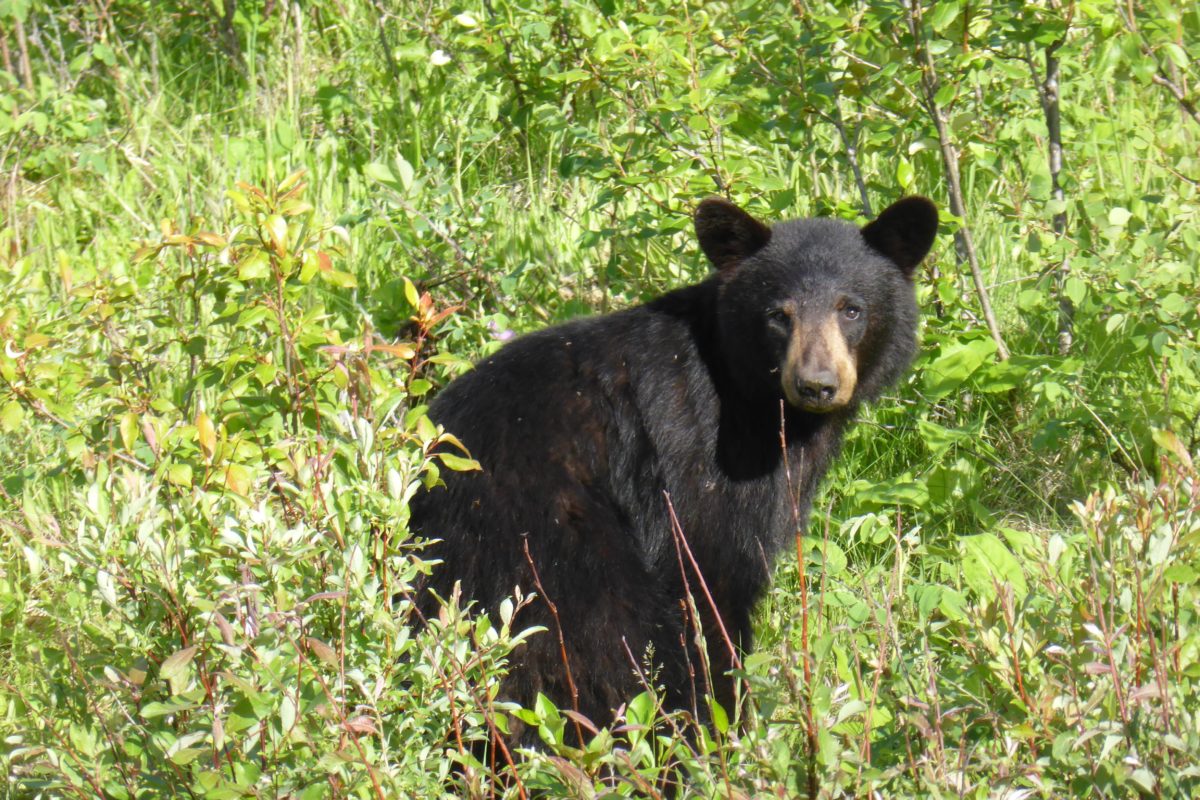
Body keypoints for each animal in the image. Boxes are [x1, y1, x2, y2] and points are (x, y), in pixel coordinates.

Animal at [412, 196, 936, 748]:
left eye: (851, 308)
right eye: (778, 314)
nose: (816, 384)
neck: (751, 399)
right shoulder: (699, 459)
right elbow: (711, 578)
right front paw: (729, 726)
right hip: (550, 550)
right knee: (609, 639)